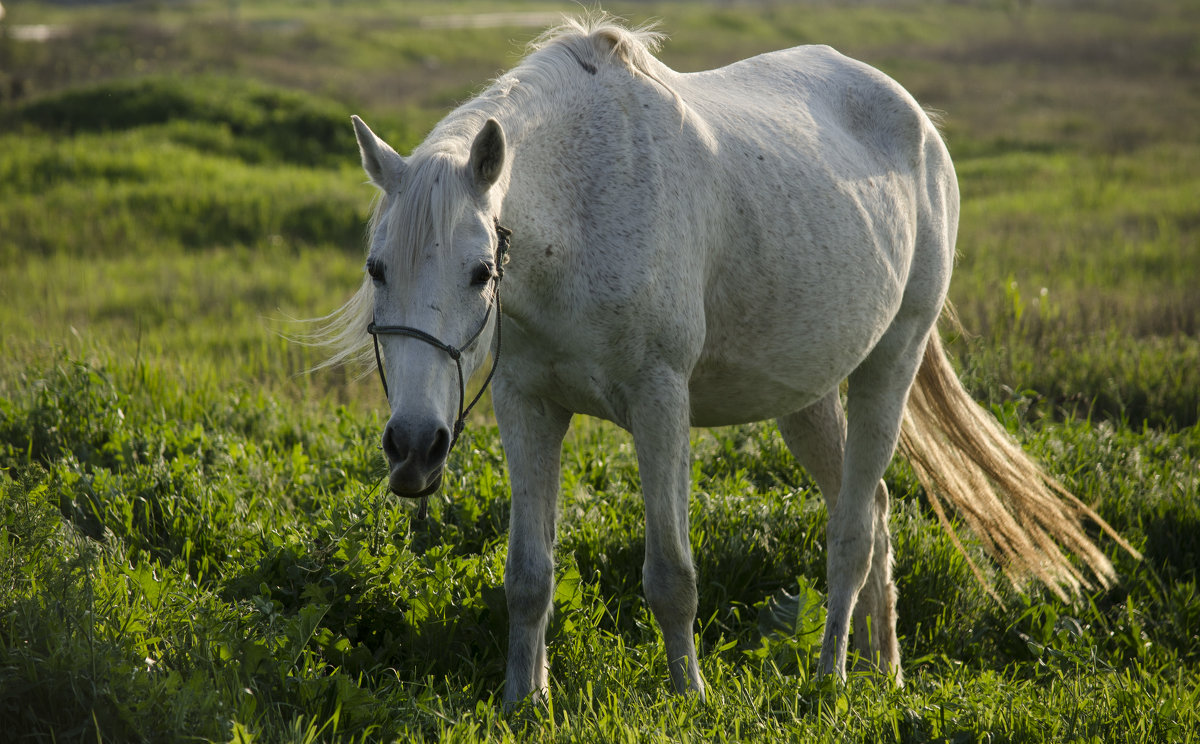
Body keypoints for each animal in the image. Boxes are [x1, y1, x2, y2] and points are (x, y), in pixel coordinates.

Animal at [314, 15, 1137, 705]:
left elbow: (672, 576)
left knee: (851, 533)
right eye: (376, 269)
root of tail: (919, 124)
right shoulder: (529, 404)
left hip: (891, 362)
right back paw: (886, 672)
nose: (414, 446)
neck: (585, 203)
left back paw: (833, 679)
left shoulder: (659, 401)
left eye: (481, 271)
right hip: (806, 396)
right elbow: (527, 576)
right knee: (873, 510)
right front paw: (525, 699)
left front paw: (689, 696)